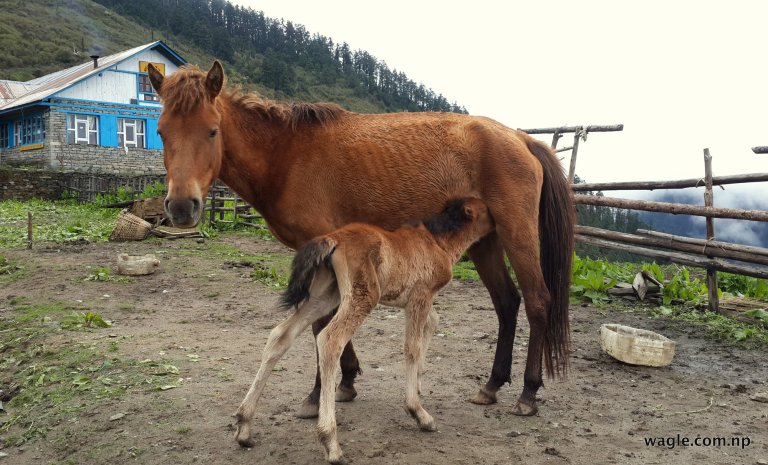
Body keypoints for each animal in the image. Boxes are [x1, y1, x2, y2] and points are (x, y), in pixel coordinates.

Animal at [147, 61, 574, 422]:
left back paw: (528, 393)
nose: (182, 206)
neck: (285, 156)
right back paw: (492, 385)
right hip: (485, 242)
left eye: (212, 130)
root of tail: (521, 139)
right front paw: (348, 380)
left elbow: (321, 327)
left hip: (518, 235)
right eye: (162, 131)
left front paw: (318, 394)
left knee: (537, 301)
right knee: (507, 303)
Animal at [234, 197, 495, 464]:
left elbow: (432, 325)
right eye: (487, 211)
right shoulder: (420, 296)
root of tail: (333, 240)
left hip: (325, 294)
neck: (437, 242)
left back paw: (244, 426)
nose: (498, 224)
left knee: (281, 334)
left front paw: (420, 384)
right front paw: (419, 413)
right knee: (330, 339)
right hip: (363, 295)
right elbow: (412, 348)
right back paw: (331, 443)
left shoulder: (419, 303)